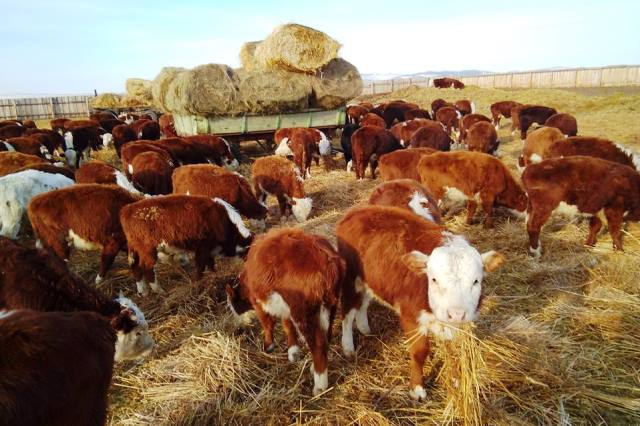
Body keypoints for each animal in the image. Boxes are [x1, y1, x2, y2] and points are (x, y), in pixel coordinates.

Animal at [120, 195, 254, 295]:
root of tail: (127, 210)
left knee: (135, 267)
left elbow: (210, 265)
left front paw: (214, 276)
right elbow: (200, 268)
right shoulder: (203, 248)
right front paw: (197, 284)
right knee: (147, 268)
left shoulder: (210, 250)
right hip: (147, 250)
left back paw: (143, 291)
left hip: (135, 249)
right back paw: (159, 290)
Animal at [226, 227, 345, 395]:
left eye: (231, 305)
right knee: (326, 335)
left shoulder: (259, 302)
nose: (239, 325)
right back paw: (313, 368)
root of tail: (327, 258)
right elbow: (287, 324)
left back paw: (319, 385)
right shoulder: (284, 306)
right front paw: (293, 351)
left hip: (304, 313)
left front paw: (268, 345)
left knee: (318, 344)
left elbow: (267, 324)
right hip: (330, 304)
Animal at [336, 205, 504, 399]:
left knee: (363, 303)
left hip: (371, 280)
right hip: (350, 280)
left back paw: (365, 328)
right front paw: (417, 388)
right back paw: (348, 346)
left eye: (476, 281)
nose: (456, 314)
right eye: (434, 279)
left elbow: (453, 350)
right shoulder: (411, 316)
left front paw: (455, 381)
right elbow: (419, 352)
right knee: (348, 313)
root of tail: (357, 209)